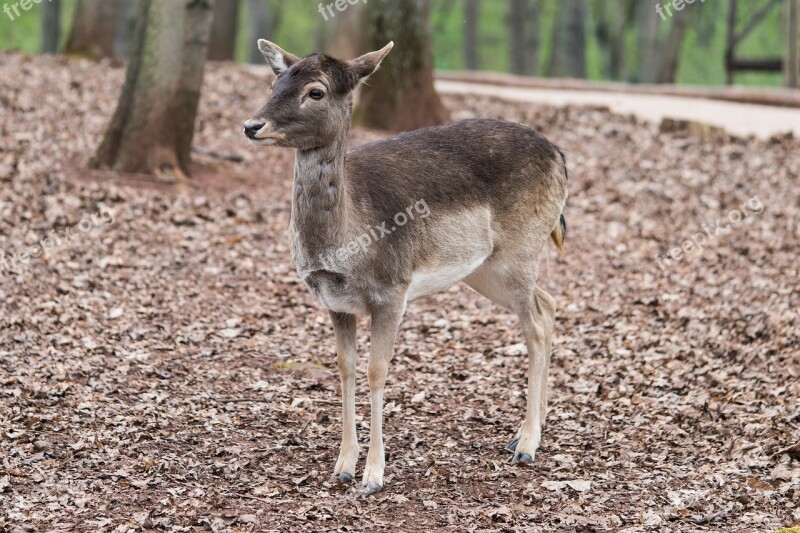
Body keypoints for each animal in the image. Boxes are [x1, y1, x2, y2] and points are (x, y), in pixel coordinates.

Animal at [244, 38, 568, 494]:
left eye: (316, 91)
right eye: (275, 82)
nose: (252, 125)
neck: (345, 239)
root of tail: (560, 155)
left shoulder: (392, 290)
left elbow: (377, 371)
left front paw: (374, 475)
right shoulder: (334, 302)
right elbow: (345, 368)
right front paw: (343, 465)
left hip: (521, 250)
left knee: (536, 324)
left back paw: (526, 443)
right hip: (485, 270)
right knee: (549, 303)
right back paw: (536, 424)